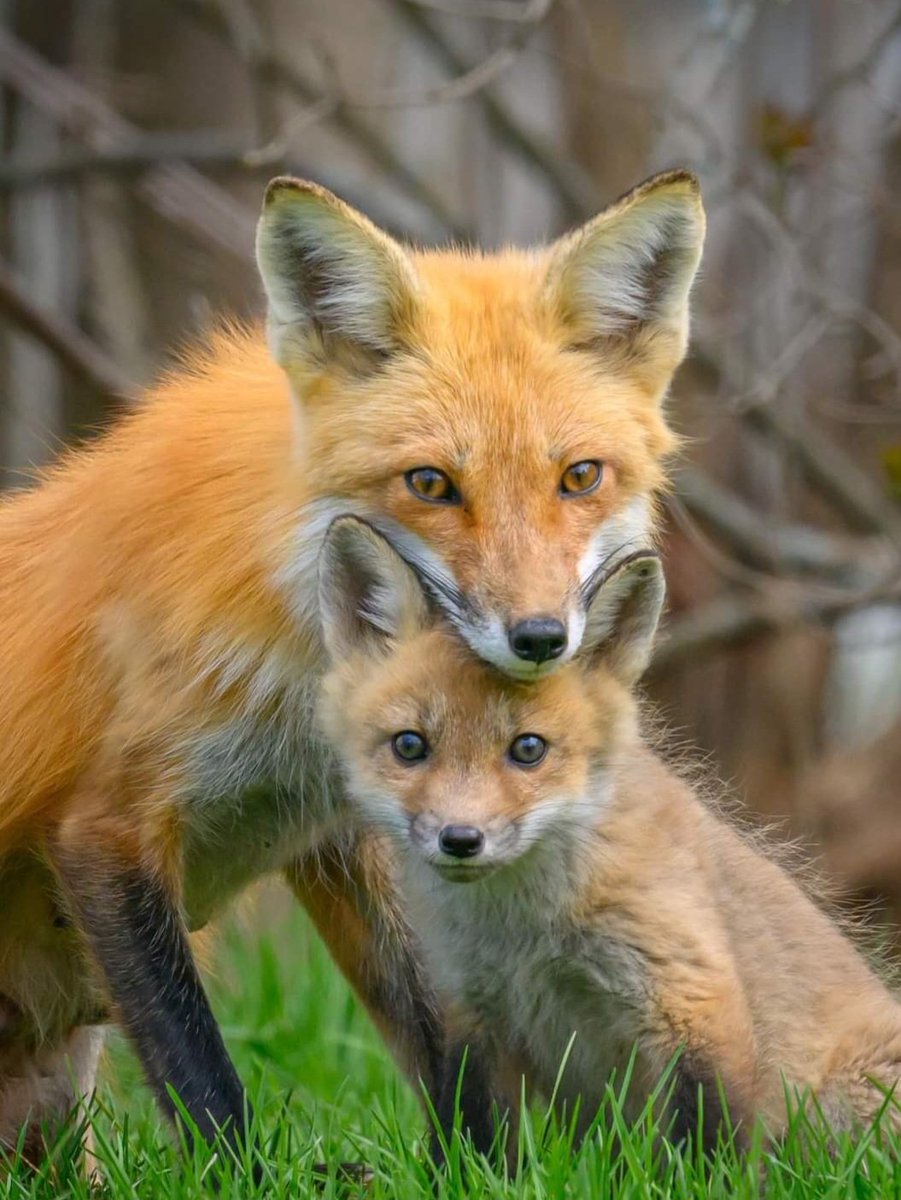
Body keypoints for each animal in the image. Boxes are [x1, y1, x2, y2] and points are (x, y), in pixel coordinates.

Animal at [0, 169, 704, 1162]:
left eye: (579, 477)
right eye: (430, 484)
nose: (539, 639)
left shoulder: (370, 827)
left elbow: (446, 1040)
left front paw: (483, 1170)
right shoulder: (106, 826)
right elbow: (203, 1078)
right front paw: (242, 1177)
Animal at [317, 515, 901, 1159]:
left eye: (528, 749)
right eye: (409, 745)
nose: (460, 838)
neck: (526, 934)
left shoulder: (694, 998)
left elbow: (705, 1148)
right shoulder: (471, 1011)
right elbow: (475, 1140)